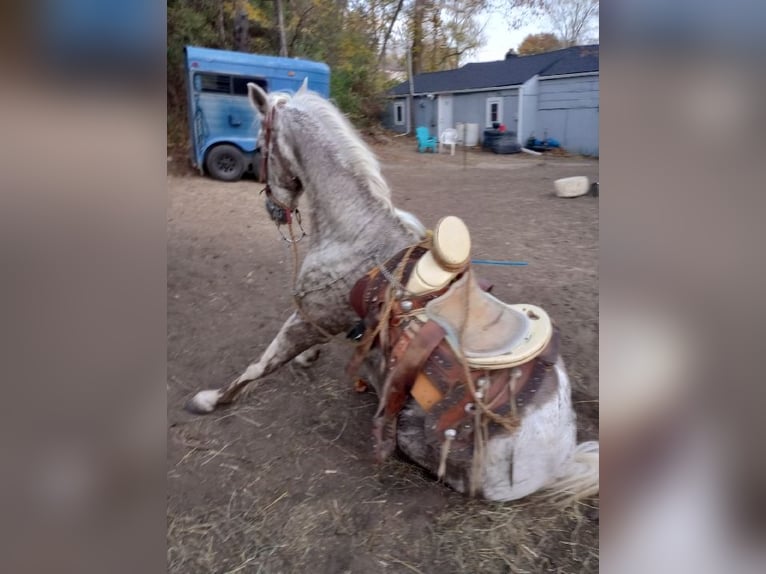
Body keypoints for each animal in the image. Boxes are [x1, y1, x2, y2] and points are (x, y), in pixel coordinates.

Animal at [188, 81, 600, 504]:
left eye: (260, 144)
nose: (273, 208)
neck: (353, 232)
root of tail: (561, 455)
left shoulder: (310, 315)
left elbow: (262, 363)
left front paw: (213, 399)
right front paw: (307, 358)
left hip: (418, 438)